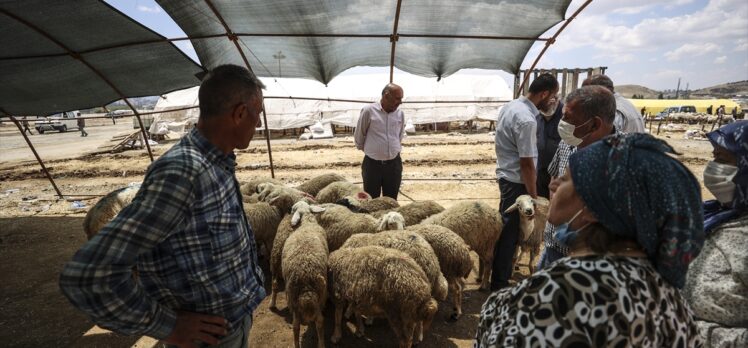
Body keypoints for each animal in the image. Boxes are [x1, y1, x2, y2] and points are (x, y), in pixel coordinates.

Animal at [280, 201, 328, 348]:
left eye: (292, 209)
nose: (289, 212)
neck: (307, 222)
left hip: (295, 299)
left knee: (297, 325)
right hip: (317, 297)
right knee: (318, 322)